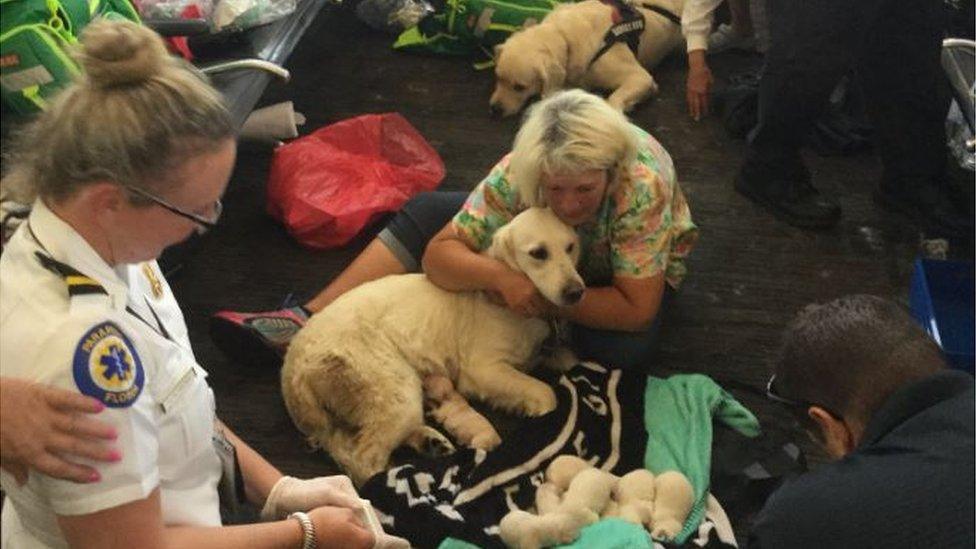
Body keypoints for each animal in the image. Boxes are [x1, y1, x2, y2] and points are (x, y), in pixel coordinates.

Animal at [278, 207, 584, 484]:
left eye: (570, 247)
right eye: (538, 253)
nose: (576, 292)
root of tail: (293, 370)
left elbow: (565, 357)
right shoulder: (482, 370)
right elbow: (545, 392)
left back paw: (431, 442)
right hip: (396, 389)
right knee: (365, 459)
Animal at [488, 0, 688, 116]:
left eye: (519, 87)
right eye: (497, 78)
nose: (495, 109)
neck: (563, 35)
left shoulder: (640, 77)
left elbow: (614, 99)